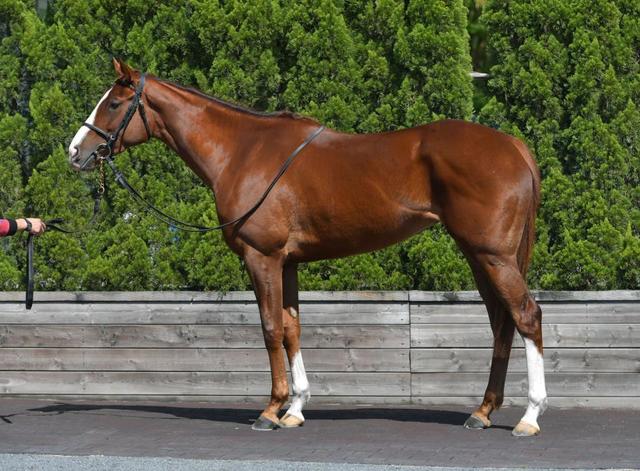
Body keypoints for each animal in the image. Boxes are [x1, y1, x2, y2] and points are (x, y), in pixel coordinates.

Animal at [68, 59, 547, 436]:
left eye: (113, 104)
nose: (76, 152)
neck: (243, 151)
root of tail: (514, 146)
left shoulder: (261, 258)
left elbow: (270, 329)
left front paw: (269, 410)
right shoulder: (288, 262)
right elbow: (292, 328)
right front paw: (295, 408)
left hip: (492, 256)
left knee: (526, 316)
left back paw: (529, 416)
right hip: (480, 257)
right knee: (502, 324)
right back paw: (482, 412)